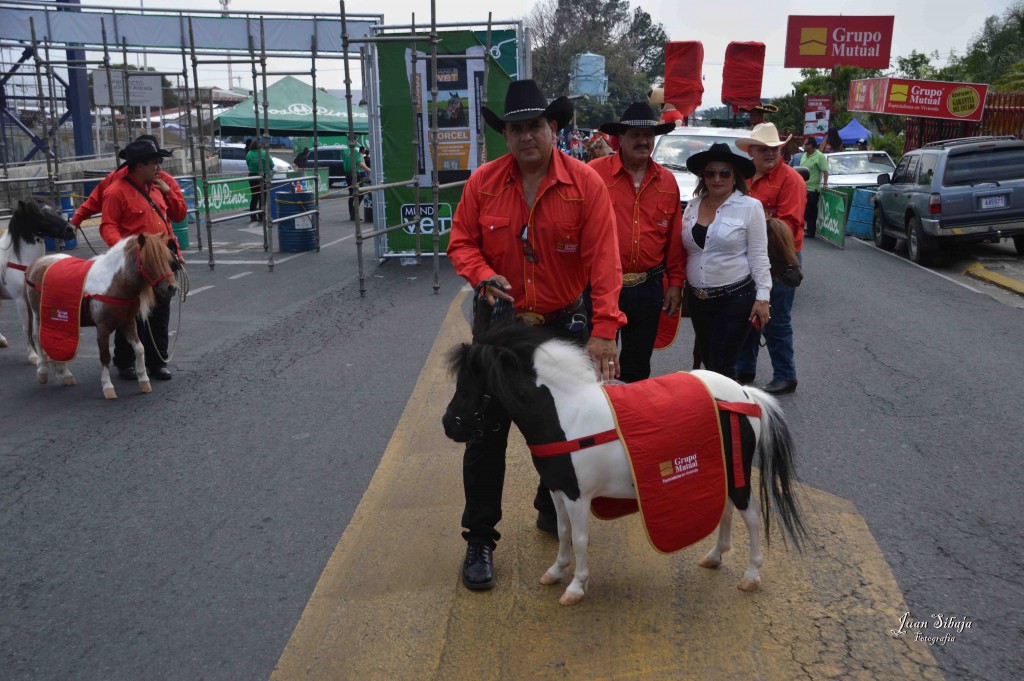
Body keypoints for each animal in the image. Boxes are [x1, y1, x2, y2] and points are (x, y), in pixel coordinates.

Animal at [0, 197, 75, 360]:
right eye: (40, 214)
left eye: (55, 209)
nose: (71, 230)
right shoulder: (20, 299)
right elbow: (26, 327)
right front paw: (33, 356)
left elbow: (36, 328)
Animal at [22, 233, 178, 399]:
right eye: (150, 260)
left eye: (168, 258)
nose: (172, 288)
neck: (113, 284)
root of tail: (36, 263)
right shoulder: (102, 328)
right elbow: (105, 356)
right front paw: (107, 386)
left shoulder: (128, 322)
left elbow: (140, 349)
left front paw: (143, 381)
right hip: (39, 315)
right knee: (37, 338)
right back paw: (42, 372)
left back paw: (65, 373)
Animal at [442, 323, 806, 606]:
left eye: (472, 387)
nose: (449, 425)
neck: (566, 415)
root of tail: (744, 394)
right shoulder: (558, 490)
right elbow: (563, 532)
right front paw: (556, 571)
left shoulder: (577, 496)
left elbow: (580, 538)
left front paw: (576, 586)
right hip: (723, 471)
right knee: (727, 510)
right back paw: (715, 556)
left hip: (738, 474)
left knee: (753, 516)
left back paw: (752, 575)